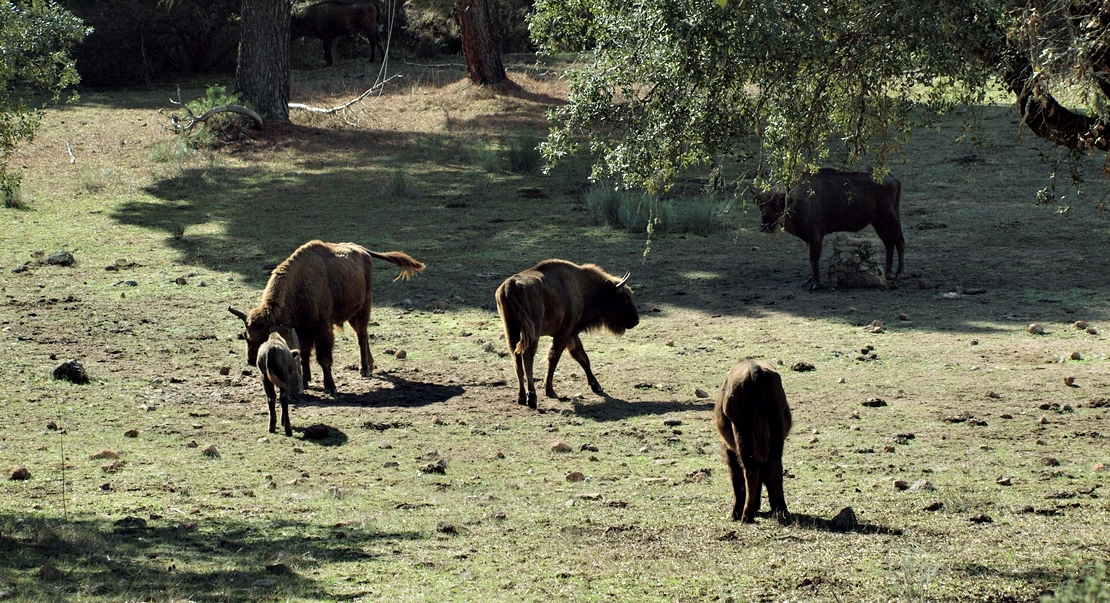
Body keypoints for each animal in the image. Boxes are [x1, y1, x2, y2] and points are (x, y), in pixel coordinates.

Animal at [229, 240, 424, 395]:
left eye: (264, 337)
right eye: (245, 336)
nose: (251, 360)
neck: (299, 286)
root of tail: (362, 250)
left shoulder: (322, 329)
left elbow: (323, 358)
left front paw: (330, 387)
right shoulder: (302, 331)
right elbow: (304, 354)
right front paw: (306, 381)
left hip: (363, 309)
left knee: (361, 336)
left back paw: (364, 369)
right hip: (353, 314)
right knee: (363, 335)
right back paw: (370, 365)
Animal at [497, 259, 643, 410]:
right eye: (625, 298)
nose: (636, 320)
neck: (582, 287)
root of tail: (510, 285)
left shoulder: (572, 335)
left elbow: (582, 357)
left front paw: (596, 386)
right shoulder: (565, 334)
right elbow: (554, 358)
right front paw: (550, 390)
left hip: (511, 330)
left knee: (516, 357)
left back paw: (521, 397)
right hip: (532, 331)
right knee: (527, 356)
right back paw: (532, 398)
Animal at [714, 359, 794, 524]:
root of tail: (755, 371)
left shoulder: (729, 450)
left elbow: (736, 478)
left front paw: (735, 513)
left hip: (742, 434)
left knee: (750, 471)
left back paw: (746, 515)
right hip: (775, 431)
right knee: (775, 468)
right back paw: (782, 511)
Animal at [759, 167, 905, 290]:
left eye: (777, 206)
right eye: (761, 206)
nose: (765, 226)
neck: (795, 199)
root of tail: (893, 179)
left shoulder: (815, 237)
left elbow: (814, 258)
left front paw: (815, 284)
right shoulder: (809, 239)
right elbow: (810, 257)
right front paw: (810, 279)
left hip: (891, 218)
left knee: (899, 241)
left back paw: (899, 274)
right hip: (878, 222)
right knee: (889, 242)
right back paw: (888, 274)